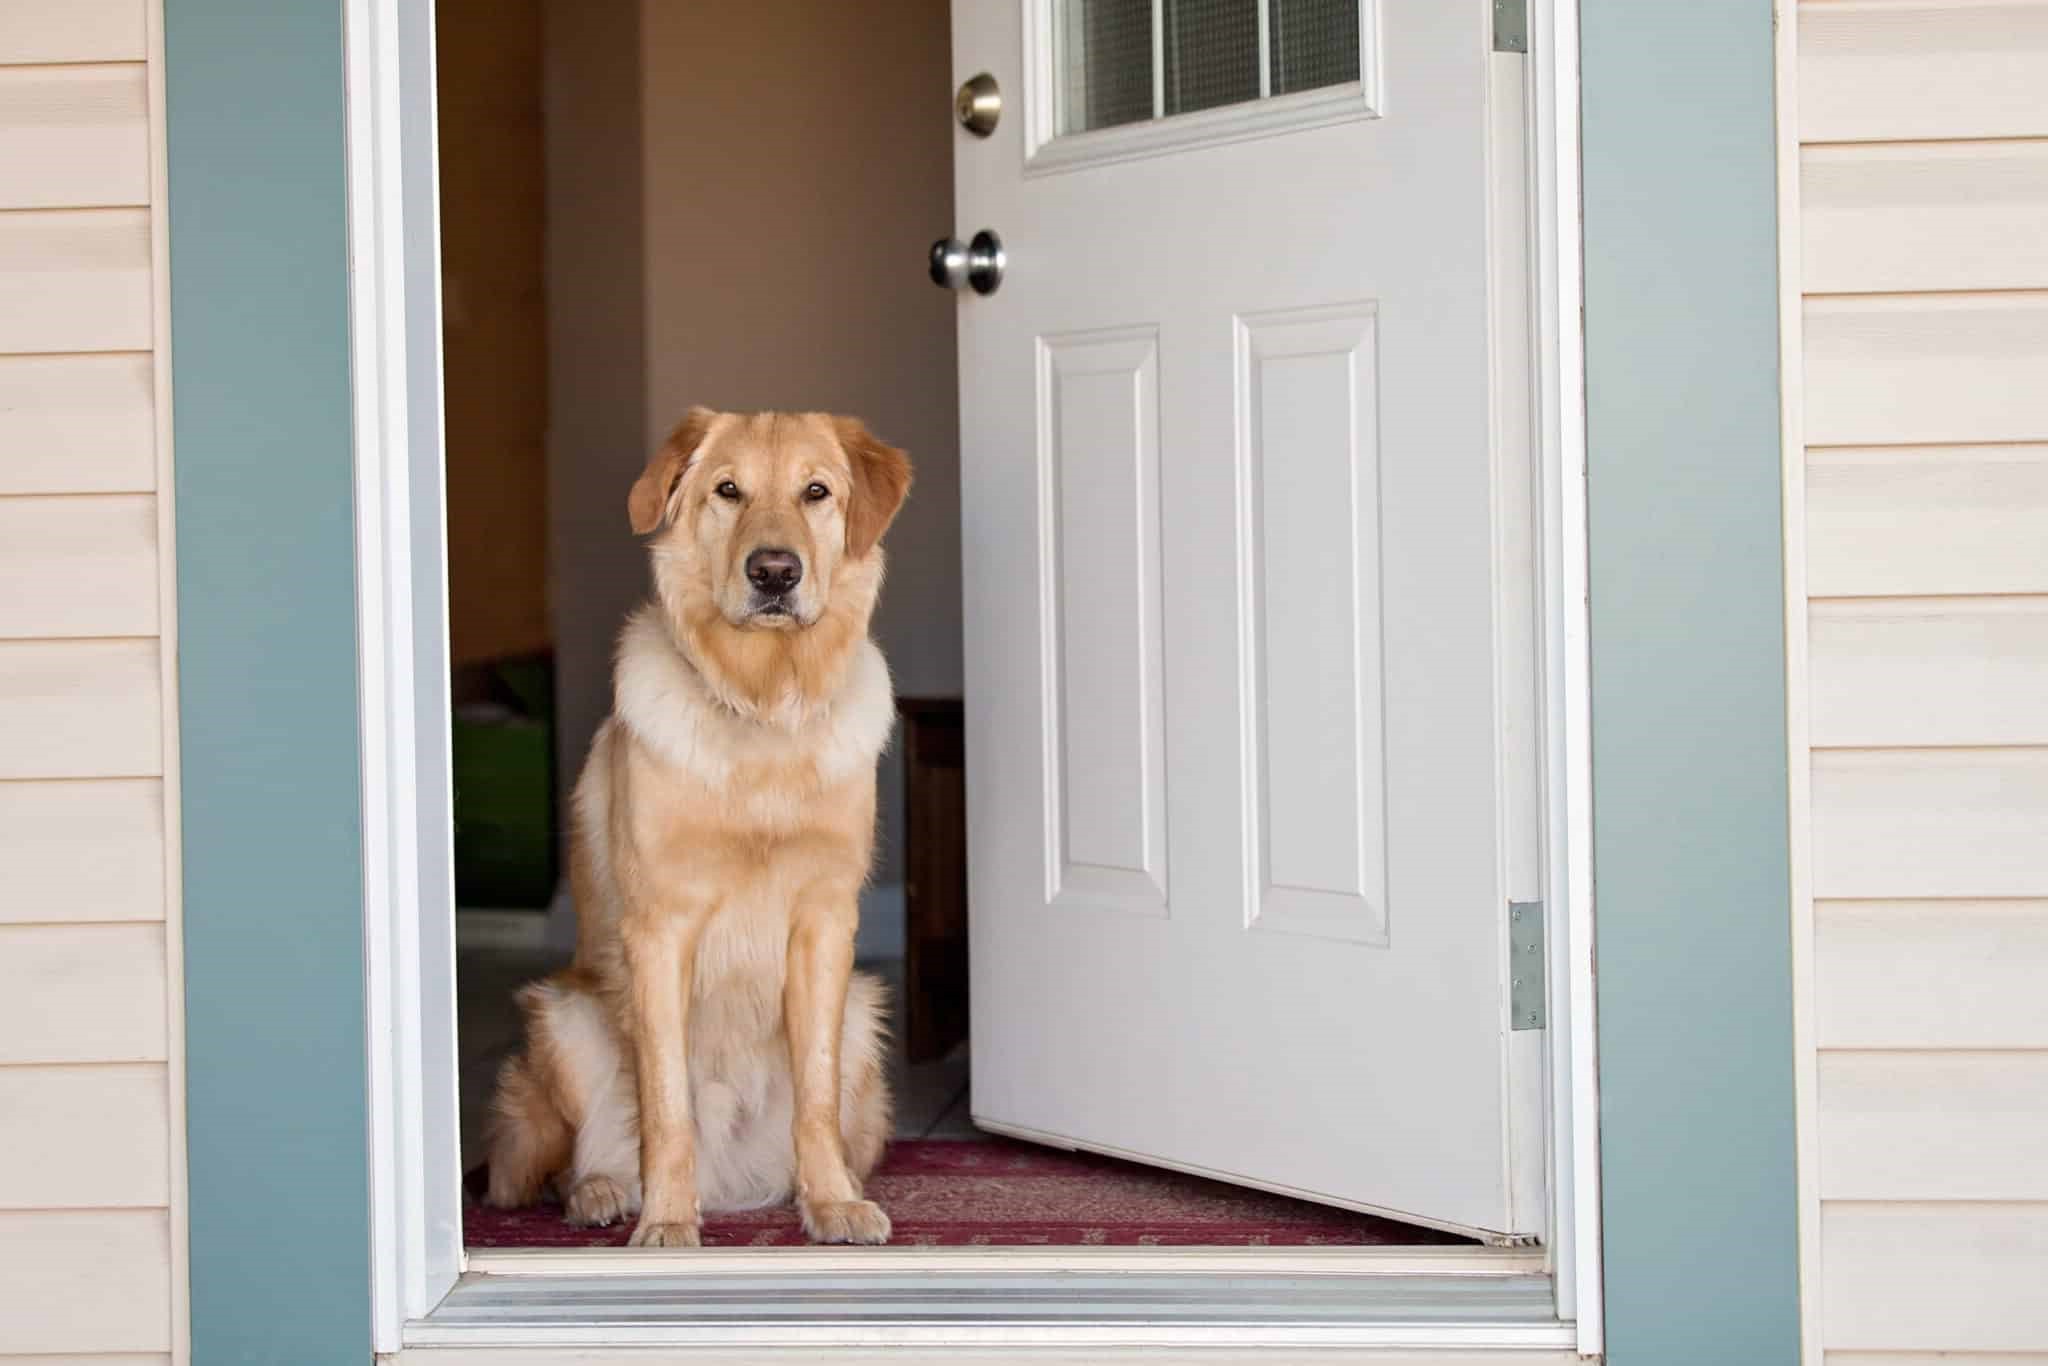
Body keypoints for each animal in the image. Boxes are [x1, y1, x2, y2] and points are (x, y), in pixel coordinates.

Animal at [483, 409, 909, 1253]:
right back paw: (605, 1193)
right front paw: (669, 1219)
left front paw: (831, 1205)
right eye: (728, 490)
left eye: (817, 492)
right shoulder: (661, 929)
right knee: (567, 1163)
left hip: (864, 1021)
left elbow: (814, 1099)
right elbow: (666, 1104)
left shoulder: (824, 925)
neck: (762, 703)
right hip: (564, 1019)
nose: (774, 573)